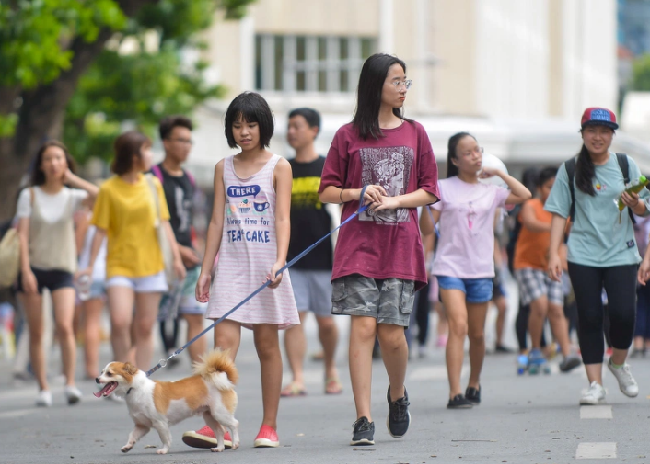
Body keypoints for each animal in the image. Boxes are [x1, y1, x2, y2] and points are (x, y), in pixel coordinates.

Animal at [95, 350, 239, 454]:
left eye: (109, 373)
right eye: (101, 372)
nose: (96, 378)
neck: (136, 389)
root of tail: (224, 379)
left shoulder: (161, 423)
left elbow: (165, 438)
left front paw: (164, 450)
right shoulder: (142, 425)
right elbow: (132, 435)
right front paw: (128, 446)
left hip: (221, 414)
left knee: (234, 424)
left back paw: (235, 443)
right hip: (210, 416)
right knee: (219, 431)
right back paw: (219, 447)